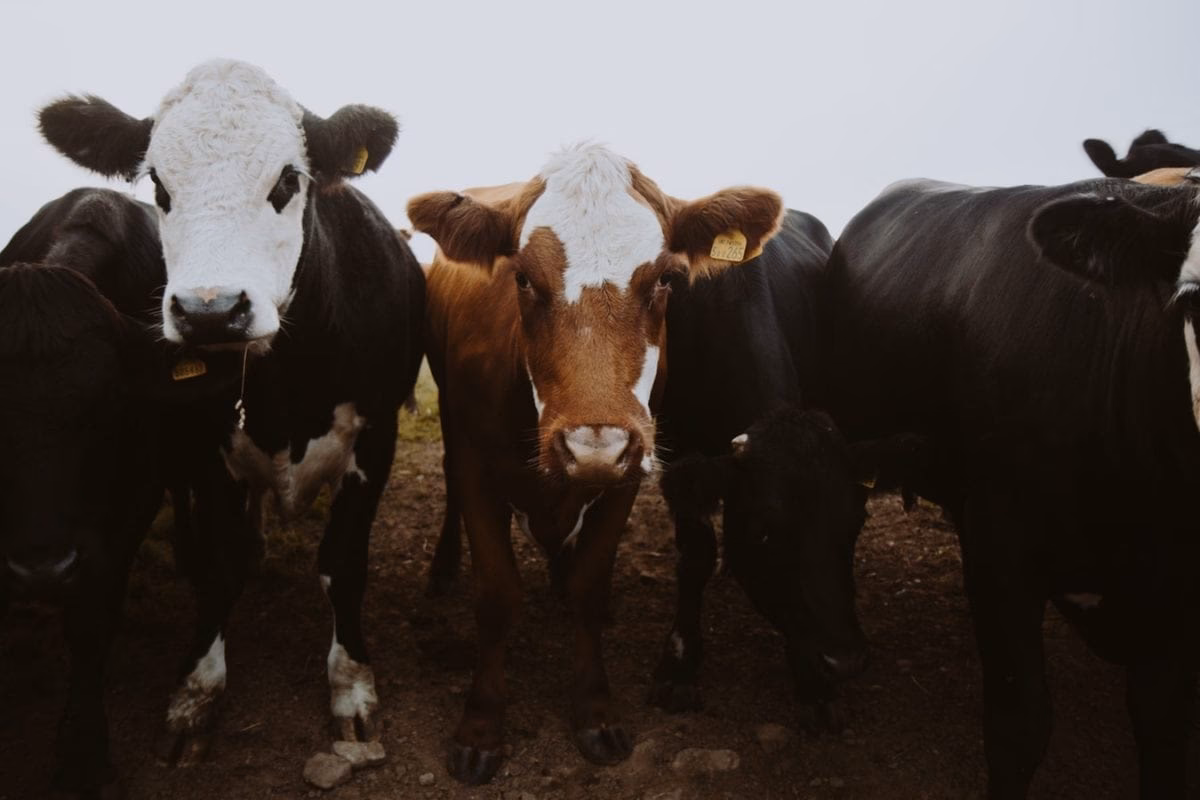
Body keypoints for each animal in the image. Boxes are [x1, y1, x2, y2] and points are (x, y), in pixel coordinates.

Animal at [37, 59, 426, 766]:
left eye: (289, 179)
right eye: (158, 184)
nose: (210, 311)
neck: (283, 384)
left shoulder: (377, 436)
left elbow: (343, 564)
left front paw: (351, 687)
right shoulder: (204, 447)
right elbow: (219, 567)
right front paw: (197, 692)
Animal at [407, 143, 786, 784]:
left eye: (666, 278)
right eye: (522, 277)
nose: (594, 445)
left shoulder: (627, 475)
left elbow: (589, 584)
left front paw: (594, 710)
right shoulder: (479, 465)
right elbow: (496, 594)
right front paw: (481, 725)